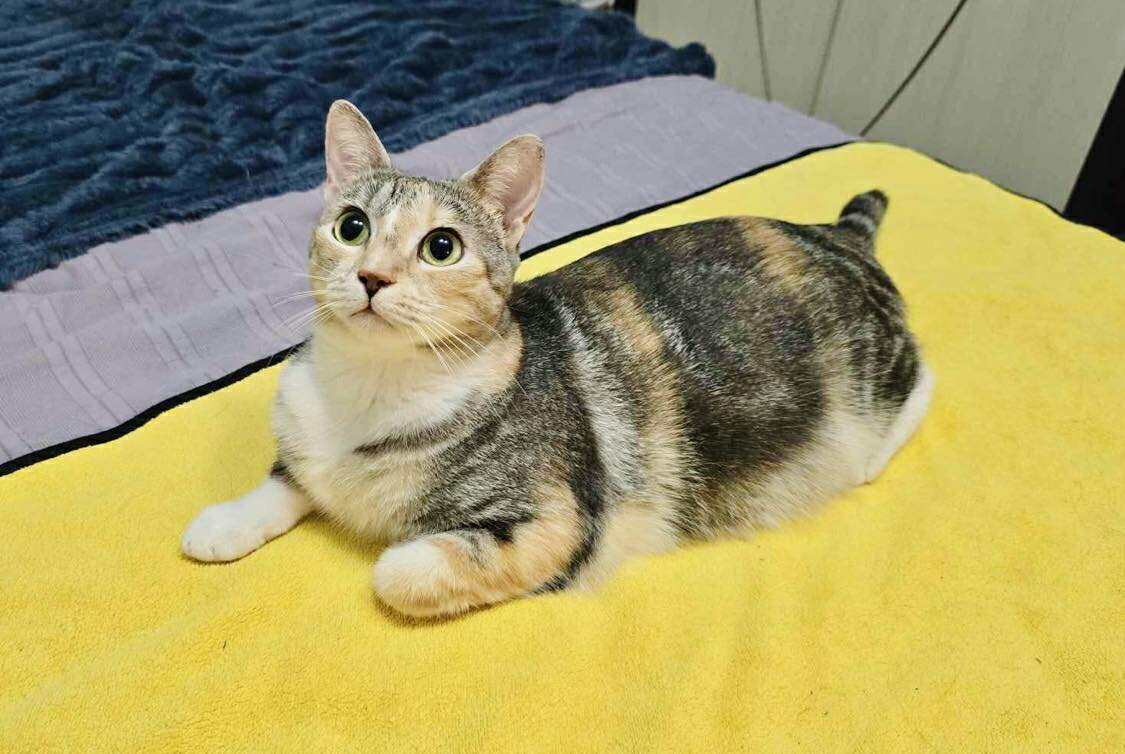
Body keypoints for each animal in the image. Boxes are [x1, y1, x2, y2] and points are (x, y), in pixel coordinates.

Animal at [182, 99, 933, 618]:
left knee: (923, 379)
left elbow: (395, 572)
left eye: (441, 247)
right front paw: (223, 522)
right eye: (351, 226)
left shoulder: (556, 521)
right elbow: (292, 477)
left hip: (875, 377)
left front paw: (394, 548)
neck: (370, 389)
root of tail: (840, 234)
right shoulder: (306, 439)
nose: (371, 277)